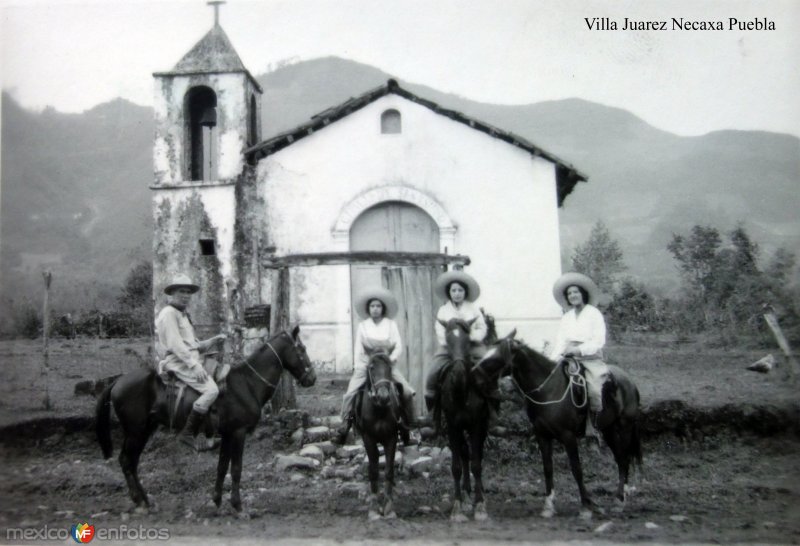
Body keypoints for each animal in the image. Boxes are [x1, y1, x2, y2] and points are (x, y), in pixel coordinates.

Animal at [94, 326, 316, 512]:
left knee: (132, 461)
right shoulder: (238, 433)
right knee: (126, 460)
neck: (247, 383)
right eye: (302, 348)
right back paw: (139, 500)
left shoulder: (227, 434)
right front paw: (237, 505)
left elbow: (222, 467)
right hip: (136, 431)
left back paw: (145, 500)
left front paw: (217, 500)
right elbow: (236, 468)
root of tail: (117, 381)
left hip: (145, 430)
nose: (312, 378)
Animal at [354, 352, 404, 520]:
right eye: (371, 367)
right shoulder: (368, 438)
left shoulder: (391, 438)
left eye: (389, 367)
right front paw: (374, 507)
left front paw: (388, 506)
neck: (379, 410)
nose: (383, 397)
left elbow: (388, 470)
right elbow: (374, 470)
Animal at [434, 316, 496, 520]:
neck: (462, 391)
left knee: (477, 455)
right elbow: (456, 466)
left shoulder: (477, 424)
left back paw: (478, 493)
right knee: (464, 453)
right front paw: (458, 506)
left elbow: (477, 464)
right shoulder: (453, 426)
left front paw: (480, 506)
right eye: (448, 340)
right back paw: (467, 494)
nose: (459, 373)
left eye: (467, 340)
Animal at [488, 330, 644, 516]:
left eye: (497, 355)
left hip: (625, 426)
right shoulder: (542, 436)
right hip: (609, 430)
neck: (548, 390)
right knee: (621, 459)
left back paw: (621, 499)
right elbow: (548, 468)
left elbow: (576, 469)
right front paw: (548, 505)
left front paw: (587, 505)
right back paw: (620, 498)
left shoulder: (568, 436)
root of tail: (629, 381)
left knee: (625, 459)